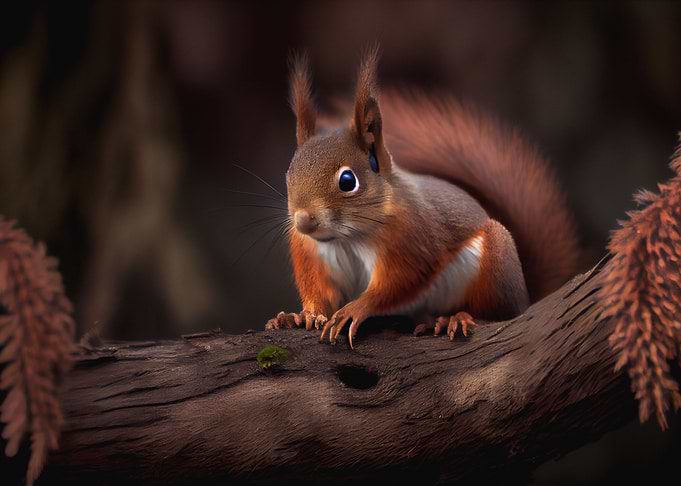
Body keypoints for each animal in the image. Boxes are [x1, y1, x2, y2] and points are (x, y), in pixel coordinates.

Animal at [266, 48, 579, 348]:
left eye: (347, 181)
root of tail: (526, 298)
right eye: (289, 173)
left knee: (494, 313)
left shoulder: (414, 238)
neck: (349, 236)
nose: (303, 222)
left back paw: (454, 318)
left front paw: (355, 309)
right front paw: (300, 315)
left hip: (495, 263)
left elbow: (400, 283)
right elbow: (319, 291)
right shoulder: (311, 254)